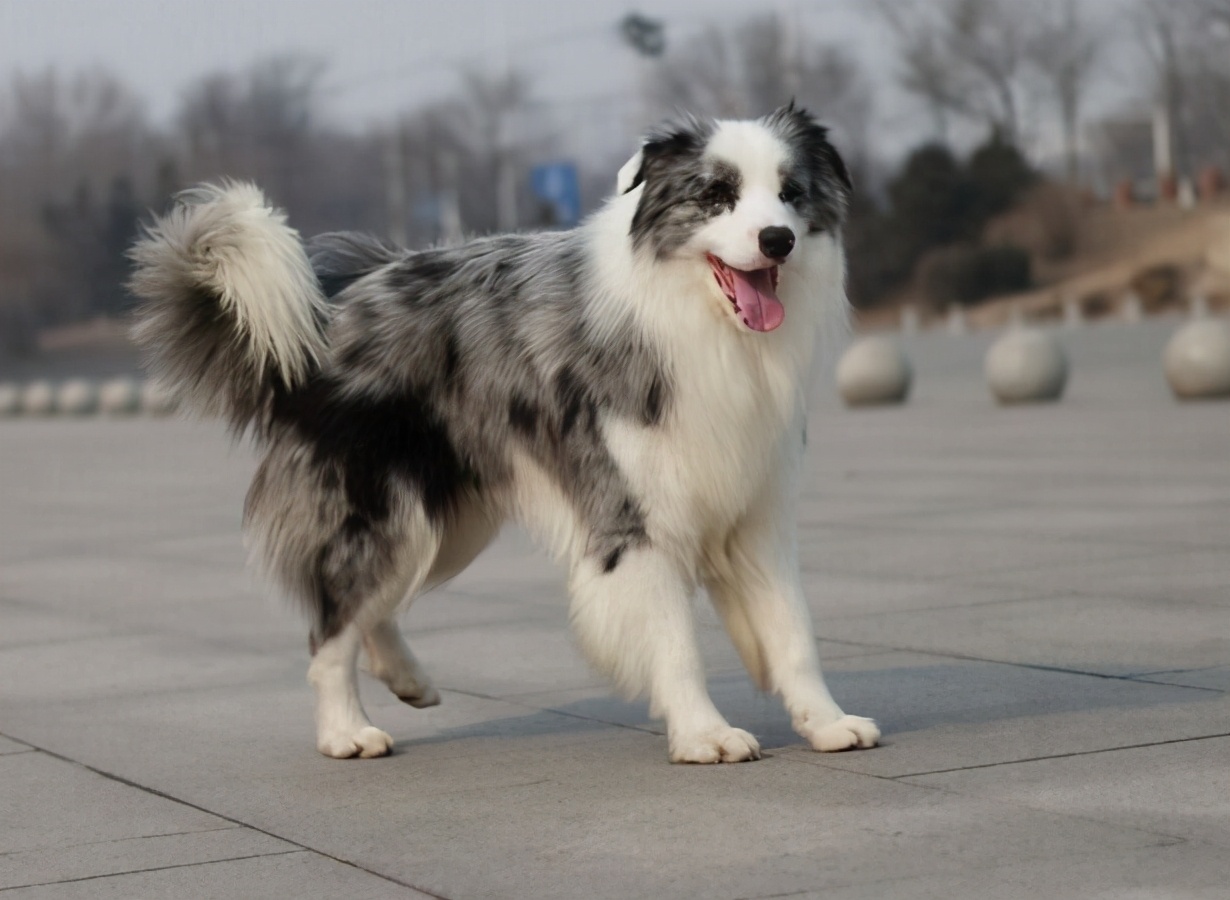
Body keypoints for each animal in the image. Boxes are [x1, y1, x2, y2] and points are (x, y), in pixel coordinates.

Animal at [129, 102, 885, 762]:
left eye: (790, 194)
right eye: (718, 195)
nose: (777, 239)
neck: (702, 327)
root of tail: (326, 312)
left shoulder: (759, 507)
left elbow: (793, 630)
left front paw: (827, 723)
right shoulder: (631, 516)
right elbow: (675, 642)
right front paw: (705, 736)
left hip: (450, 519)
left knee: (370, 606)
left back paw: (406, 678)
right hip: (383, 506)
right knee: (332, 624)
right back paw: (346, 732)